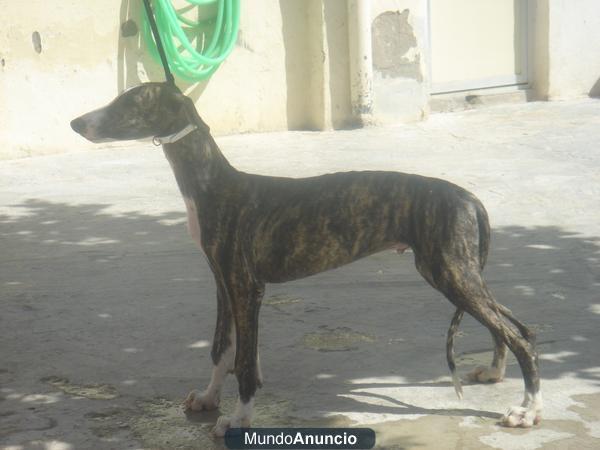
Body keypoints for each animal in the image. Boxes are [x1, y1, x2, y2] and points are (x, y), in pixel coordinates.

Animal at [72, 81, 540, 436]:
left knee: (518, 336)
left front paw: (238, 418)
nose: (76, 123)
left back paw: (527, 410)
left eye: (129, 103)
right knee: (518, 327)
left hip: (450, 273)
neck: (213, 184)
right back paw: (496, 374)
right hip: (458, 273)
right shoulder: (223, 283)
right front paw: (207, 398)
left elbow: (244, 361)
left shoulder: (247, 287)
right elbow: (222, 349)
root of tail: (470, 198)